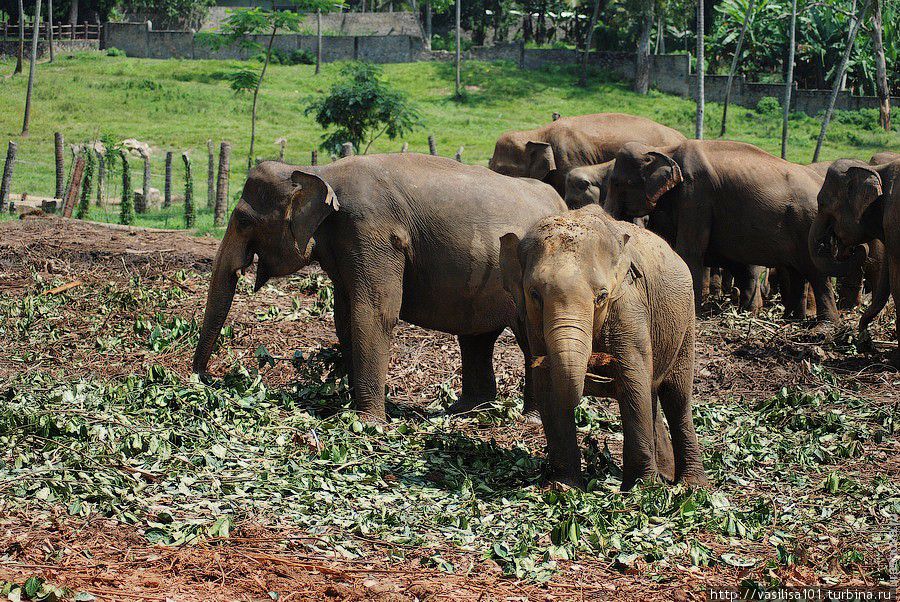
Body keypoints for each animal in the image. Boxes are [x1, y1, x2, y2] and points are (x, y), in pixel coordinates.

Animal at [193, 152, 568, 420]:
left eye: (243, 220)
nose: (203, 379)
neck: (318, 171)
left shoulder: (372, 231)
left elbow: (374, 312)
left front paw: (367, 422)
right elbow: (344, 317)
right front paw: (349, 407)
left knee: (529, 338)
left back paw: (531, 417)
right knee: (477, 337)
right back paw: (466, 410)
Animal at [500, 205, 712, 488]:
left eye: (601, 296)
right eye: (535, 294)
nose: (595, 373)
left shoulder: (629, 308)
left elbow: (633, 382)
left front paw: (641, 488)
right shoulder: (535, 328)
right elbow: (548, 388)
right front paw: (564, 486)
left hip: (686, 323)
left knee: (676, 398)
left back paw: (692, 485)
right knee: (652, 393)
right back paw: (666, 475)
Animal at [600, 140, 840, 322]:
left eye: (617, 183)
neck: (664, 149)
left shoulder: (695, 194)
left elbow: (689, 250)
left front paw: (694, 315)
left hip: (808, 226)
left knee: (816, 273)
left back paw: (824, 325)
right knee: (795, 271)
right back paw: (790, 318)